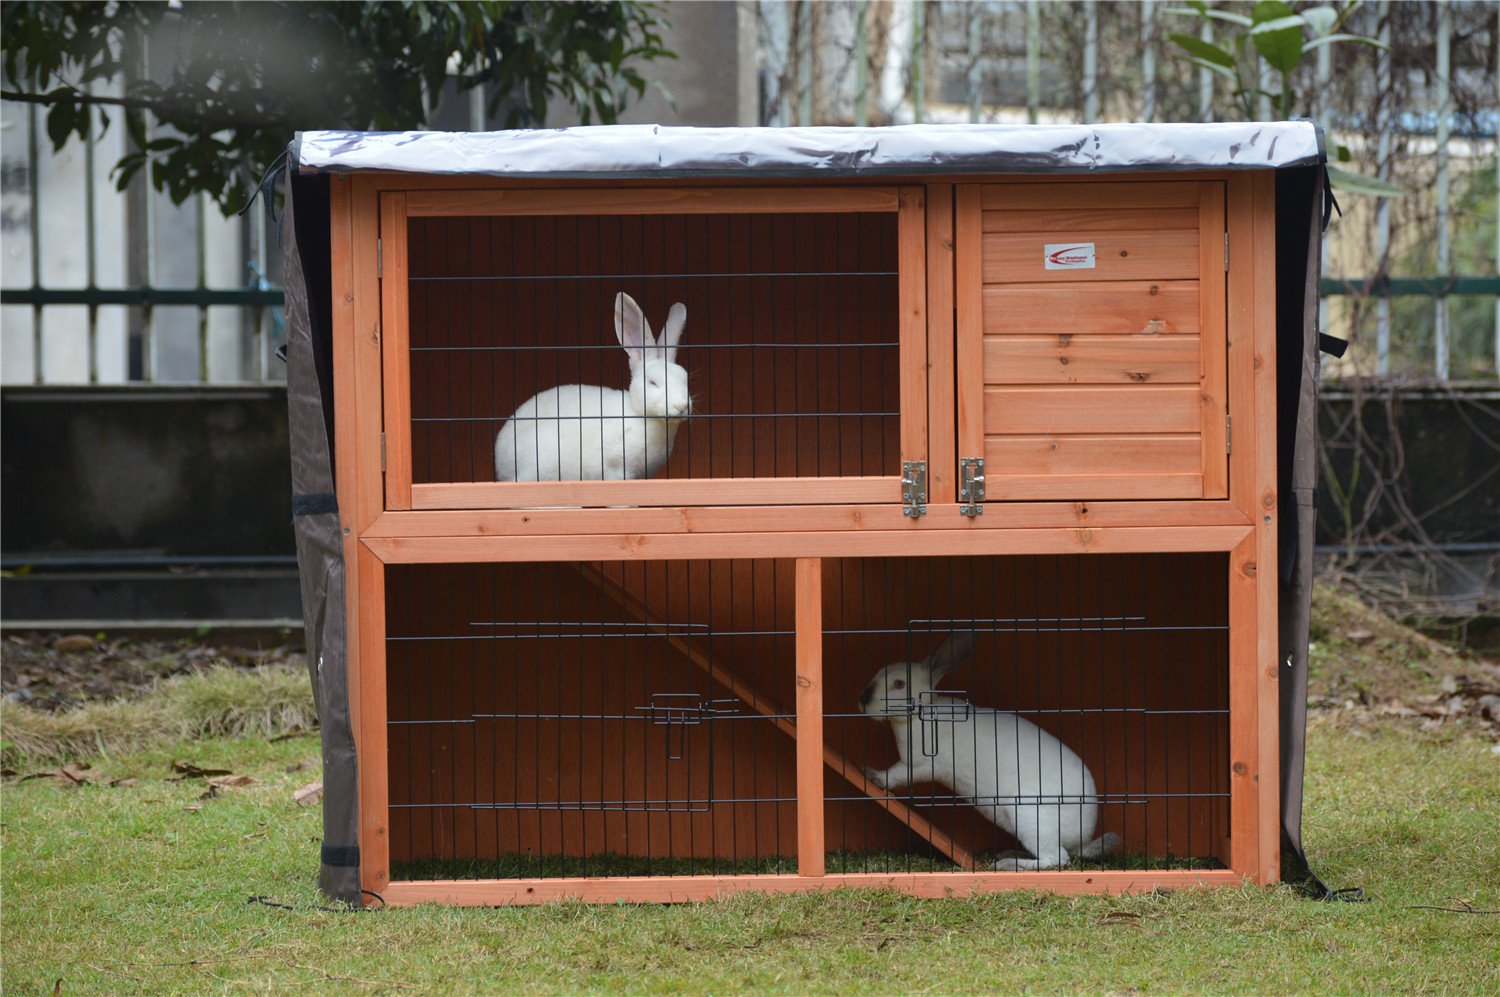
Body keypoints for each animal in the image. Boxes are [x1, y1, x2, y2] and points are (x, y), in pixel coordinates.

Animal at [858, 631, 1121, 871]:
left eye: (899, 684)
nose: (863, 699)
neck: (921, 714)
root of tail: (1083, 838)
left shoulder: (921, 765)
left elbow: (896, 775)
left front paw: (872, 775)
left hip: (1031, 815)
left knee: (1056, 858)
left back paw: (1009, 864)